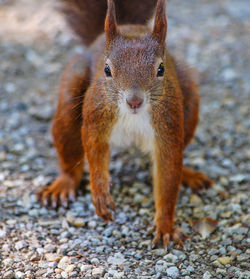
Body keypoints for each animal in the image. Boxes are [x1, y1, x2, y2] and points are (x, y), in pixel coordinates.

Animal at [37, 0, 213, 249]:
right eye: (107, 69)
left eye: (161, 69)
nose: (134, 101)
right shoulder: (96, 118)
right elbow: (94, 149)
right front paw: (100, 194)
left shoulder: (168, 127)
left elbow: (168, 175)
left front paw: (165, 227)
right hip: (71, 91)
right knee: (69, 151)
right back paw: (63, 185)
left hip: (189, 99)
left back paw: (189, 174)